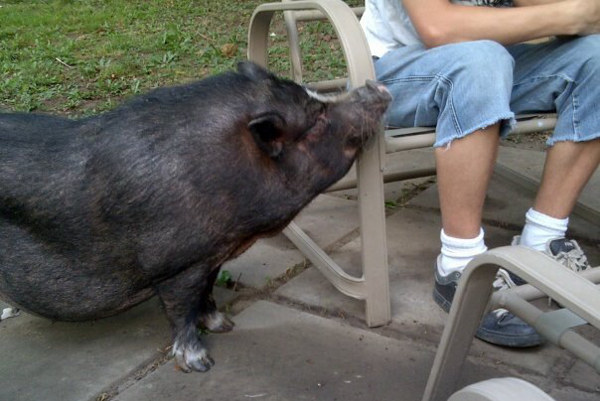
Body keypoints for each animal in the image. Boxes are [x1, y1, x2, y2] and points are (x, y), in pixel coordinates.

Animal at [0, 61, 392, 372]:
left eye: (316, 97)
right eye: (318, 119)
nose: (376, 86)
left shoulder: (210, 257)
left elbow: (206, 294)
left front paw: (224, 325)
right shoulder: (176, 264)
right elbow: (181, 309)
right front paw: (200, 364)